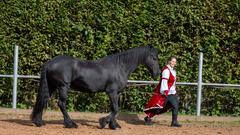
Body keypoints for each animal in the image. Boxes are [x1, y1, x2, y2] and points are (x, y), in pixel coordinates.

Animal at [31, 45, 160, 129]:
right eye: (154, 58)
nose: (157, 73)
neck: (120, 67)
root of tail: (49, 63)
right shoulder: (111, 91)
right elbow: (115, 109)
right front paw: (103, 122)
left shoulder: (117, 93)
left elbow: (115, 108)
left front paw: (114, 125)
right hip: (63, 87)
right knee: (62, 104)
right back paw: (71, 124)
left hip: (52, 86)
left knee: (44, 100)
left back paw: (39, 122)